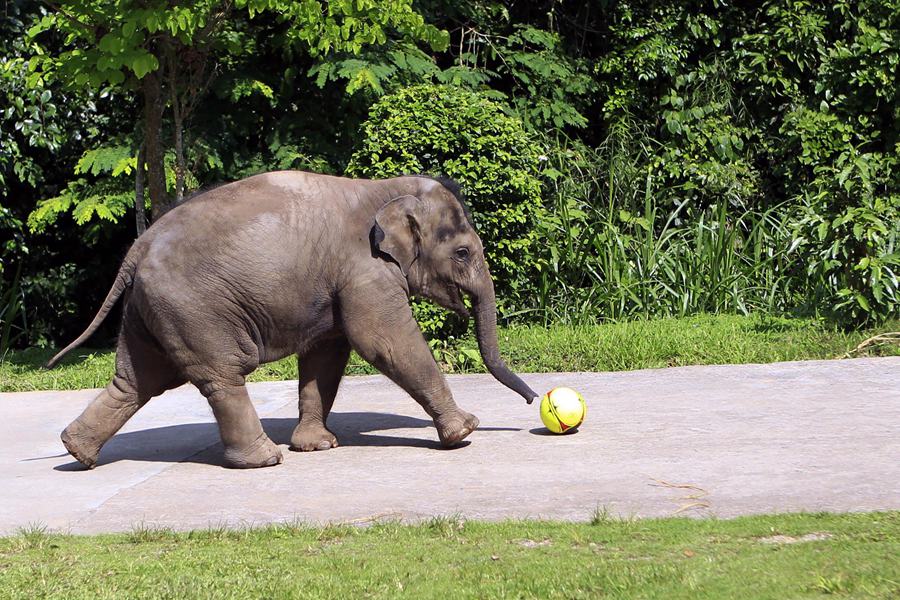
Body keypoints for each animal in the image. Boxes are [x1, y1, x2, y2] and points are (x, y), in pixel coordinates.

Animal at [49, 169, 536, 468]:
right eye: (463, 252)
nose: (534, 401)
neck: (384, 188)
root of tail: (136, 250)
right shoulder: (364, 270)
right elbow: (383, 340)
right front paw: (465, 431)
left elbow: (327, 353)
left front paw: (318, 446)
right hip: (192, 309)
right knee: (221, 375)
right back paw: (265, 460)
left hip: (148, 310)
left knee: (136, 381)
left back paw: (77, 453)